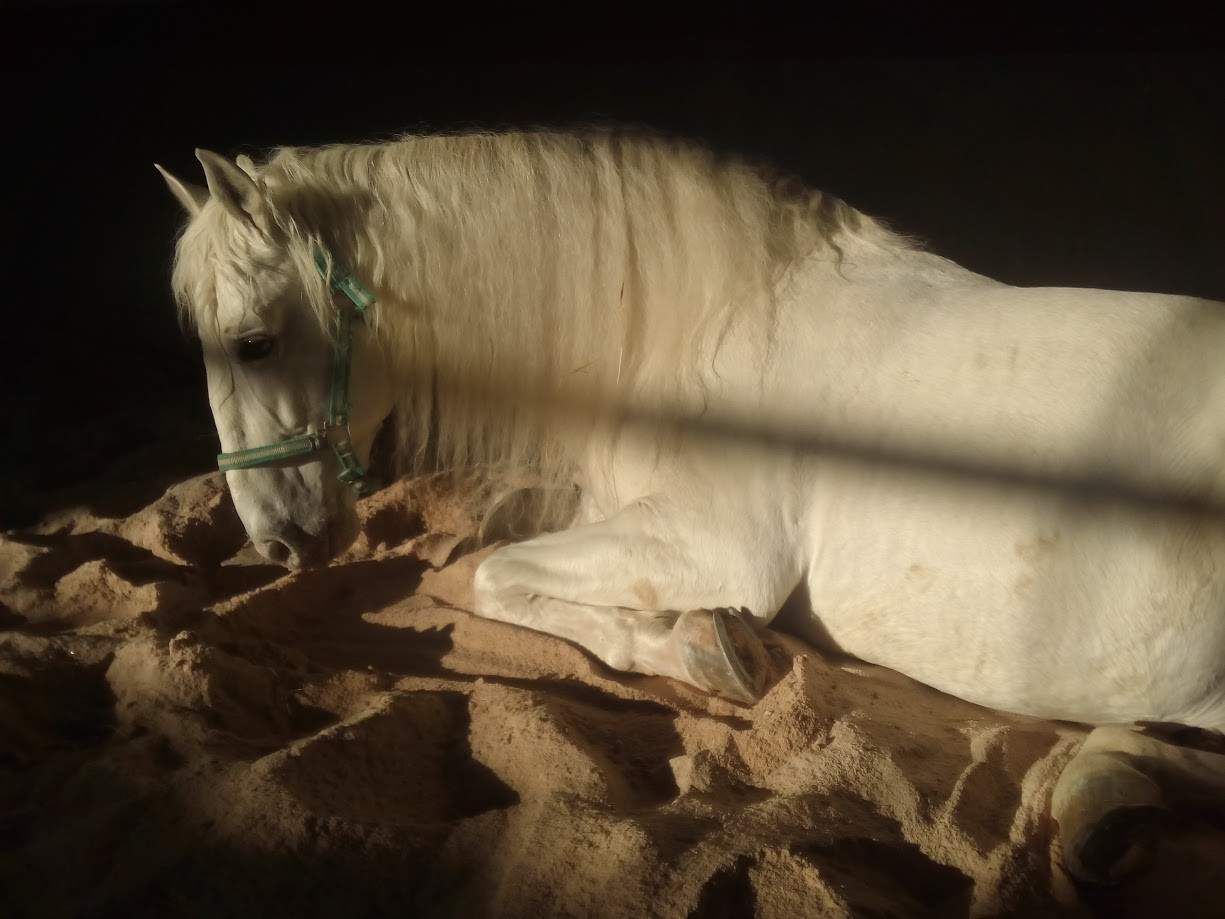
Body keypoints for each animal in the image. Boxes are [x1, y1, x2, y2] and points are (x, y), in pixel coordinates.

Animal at [157, 129, 1225, 886]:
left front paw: (706, 649)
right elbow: (484, 556)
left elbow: (485, 576)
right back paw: (1105, 803)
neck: (702, 329)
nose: (278, 541)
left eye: (253, 342)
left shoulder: (714, 547)